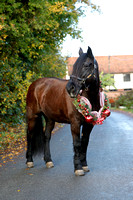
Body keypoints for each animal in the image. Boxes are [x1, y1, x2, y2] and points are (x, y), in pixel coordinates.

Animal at [25, 46, 100, 176]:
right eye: (74, 66)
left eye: (86, 65)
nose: (70, 88)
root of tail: (35, 84)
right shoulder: (75, 123)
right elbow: (77, 144)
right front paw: (78, 168)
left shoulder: (89, 124)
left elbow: (85, 142)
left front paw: (84, 165)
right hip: (32, 116)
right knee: (30, 136)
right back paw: (29, 161)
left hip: (49, 119)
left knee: (46, 137)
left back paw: (48, 161)